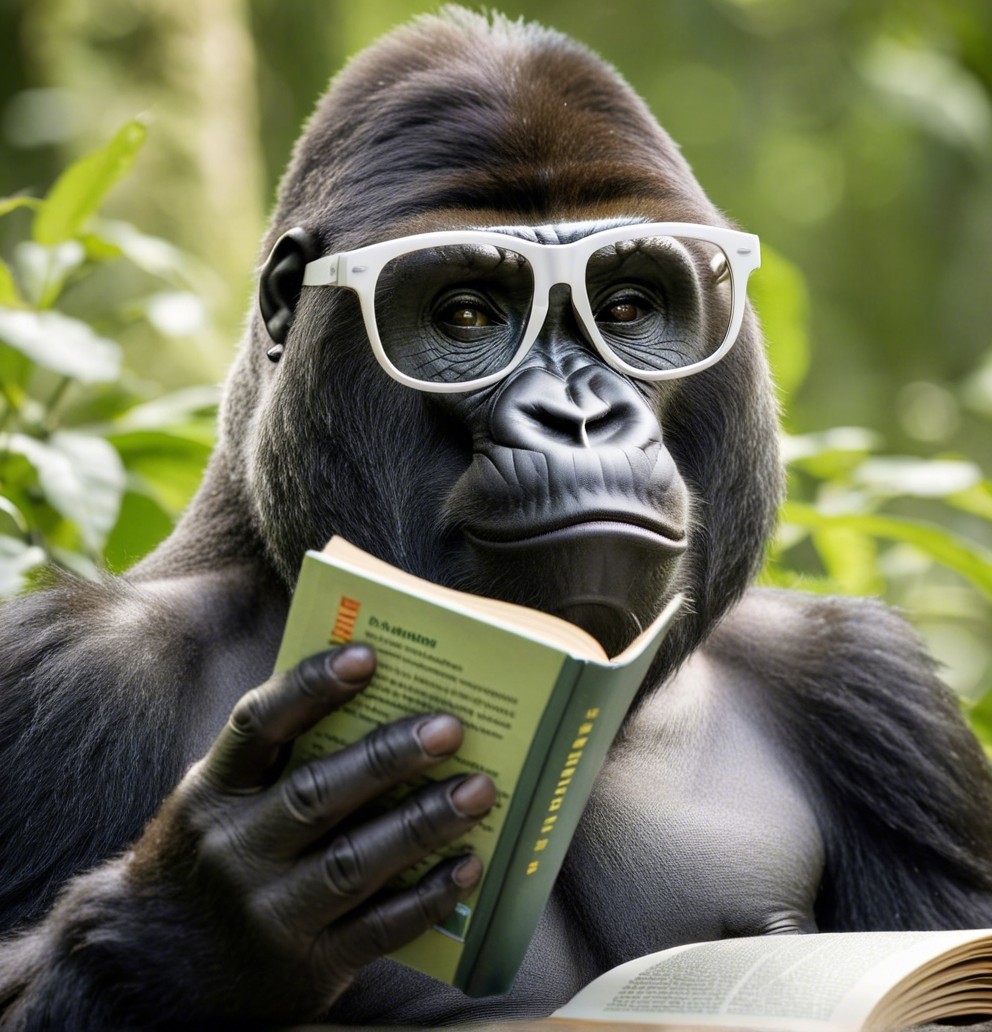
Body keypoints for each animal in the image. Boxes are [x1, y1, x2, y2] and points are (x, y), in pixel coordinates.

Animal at [1, 8, 991, 1030]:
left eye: (627, 305)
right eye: (468, 316)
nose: (580, 416)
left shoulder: (871, 692)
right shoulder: (66, 677)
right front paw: (208, 920)